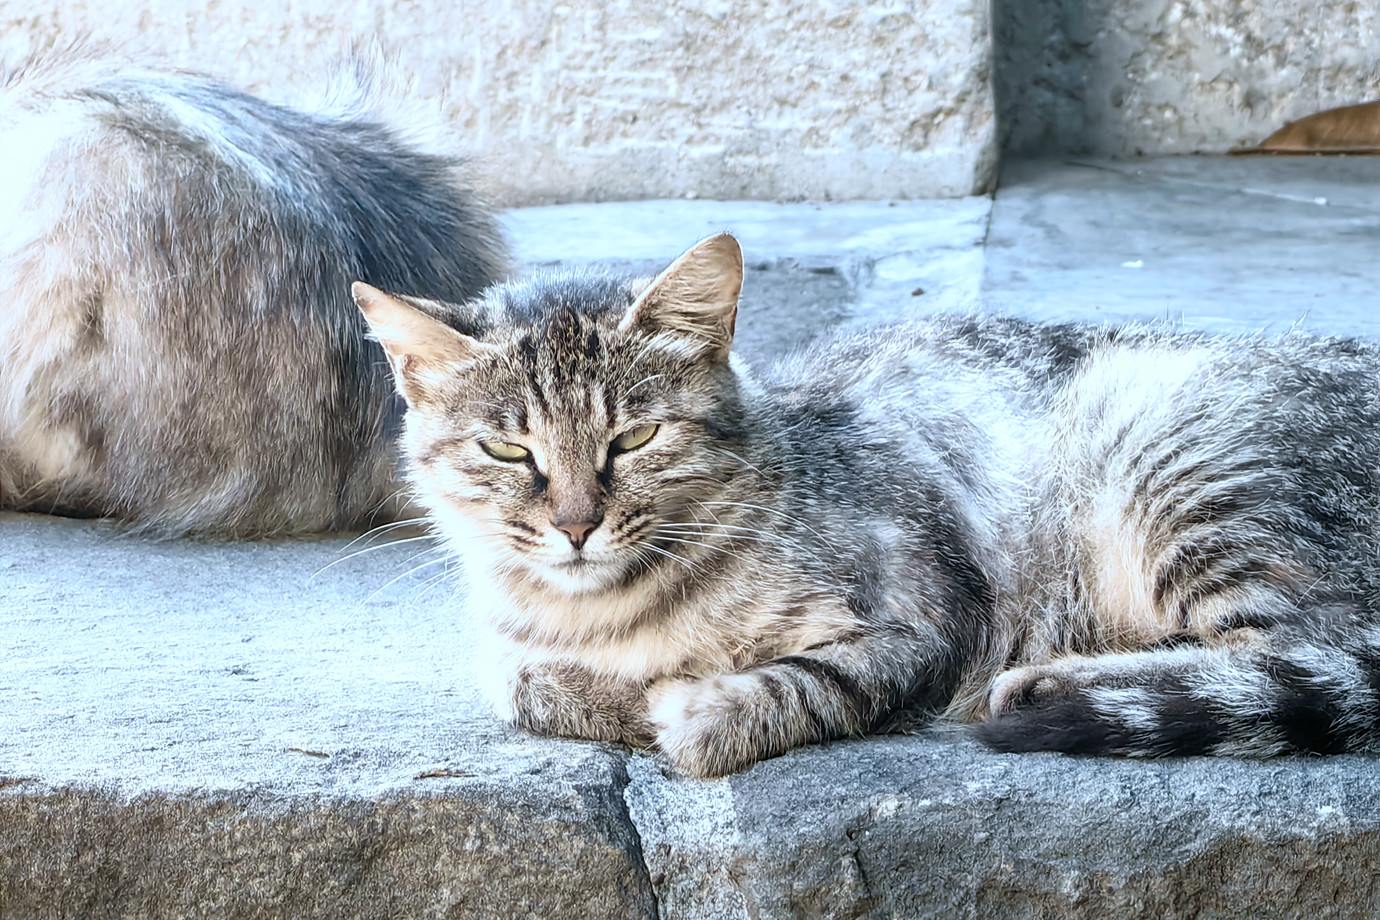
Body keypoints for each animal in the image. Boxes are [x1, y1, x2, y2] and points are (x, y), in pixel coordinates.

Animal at [356, 231, 1380, 777]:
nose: (575, 525)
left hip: (1178, 459)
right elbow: (519, 681)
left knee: (1304, 645)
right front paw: (618, 694)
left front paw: (699, 712)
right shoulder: (510, 646)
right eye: (506, 448)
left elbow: (806, 682)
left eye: (634, 439)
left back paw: (1057, 682)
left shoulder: (928, 615)